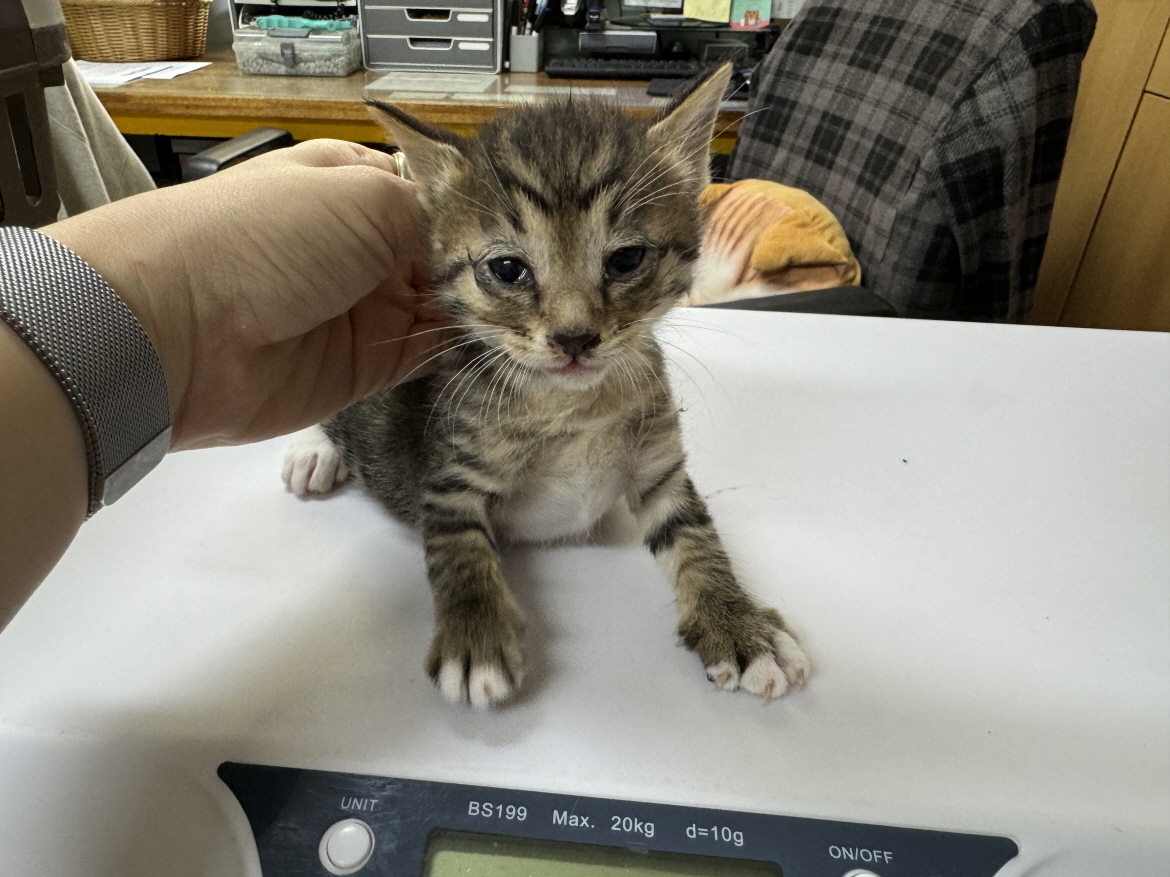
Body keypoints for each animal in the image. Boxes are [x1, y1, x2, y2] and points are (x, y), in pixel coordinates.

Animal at [283, 66, 809, 715]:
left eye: (626, 259)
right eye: (509, 270)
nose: (575, 337)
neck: (574, 402)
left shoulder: (660, 466)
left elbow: (695, 535)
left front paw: (738, 625)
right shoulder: (449, 473)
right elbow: (458, 548)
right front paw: (475, 636)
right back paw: (312, 450)